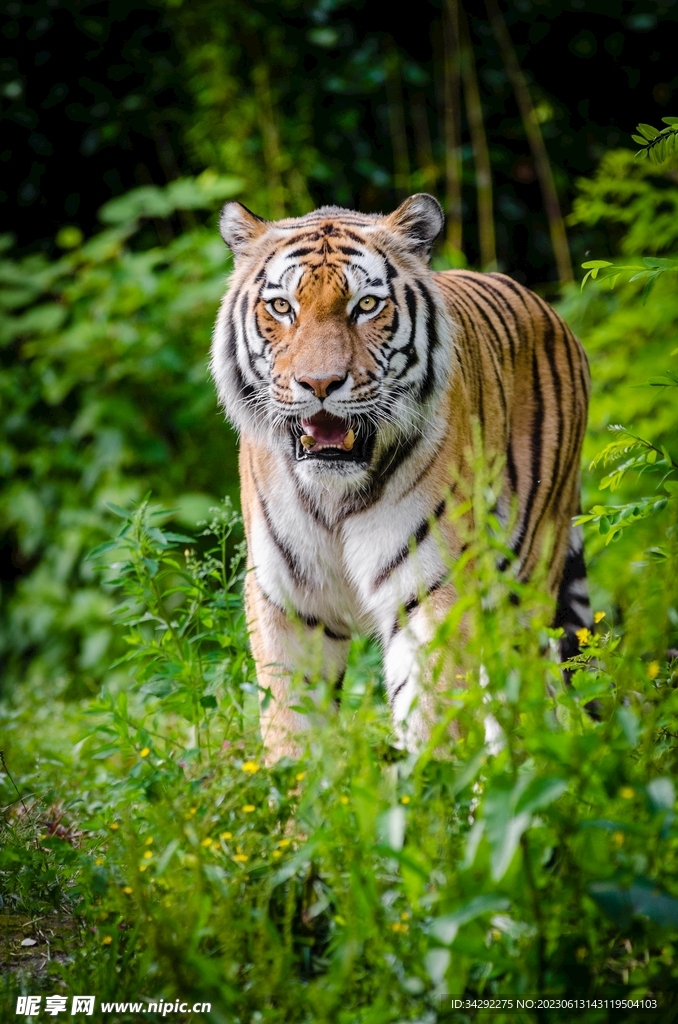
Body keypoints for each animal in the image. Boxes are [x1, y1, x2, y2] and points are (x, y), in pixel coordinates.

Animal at [211, 193, 591, 761]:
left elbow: (433, 715)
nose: (319, 383)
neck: (334, 495)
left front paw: (431, 783)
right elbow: (290, 727)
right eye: (281, 308)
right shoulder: (287, 601)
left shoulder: (430, 591)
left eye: (366, 305)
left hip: (524, 582)